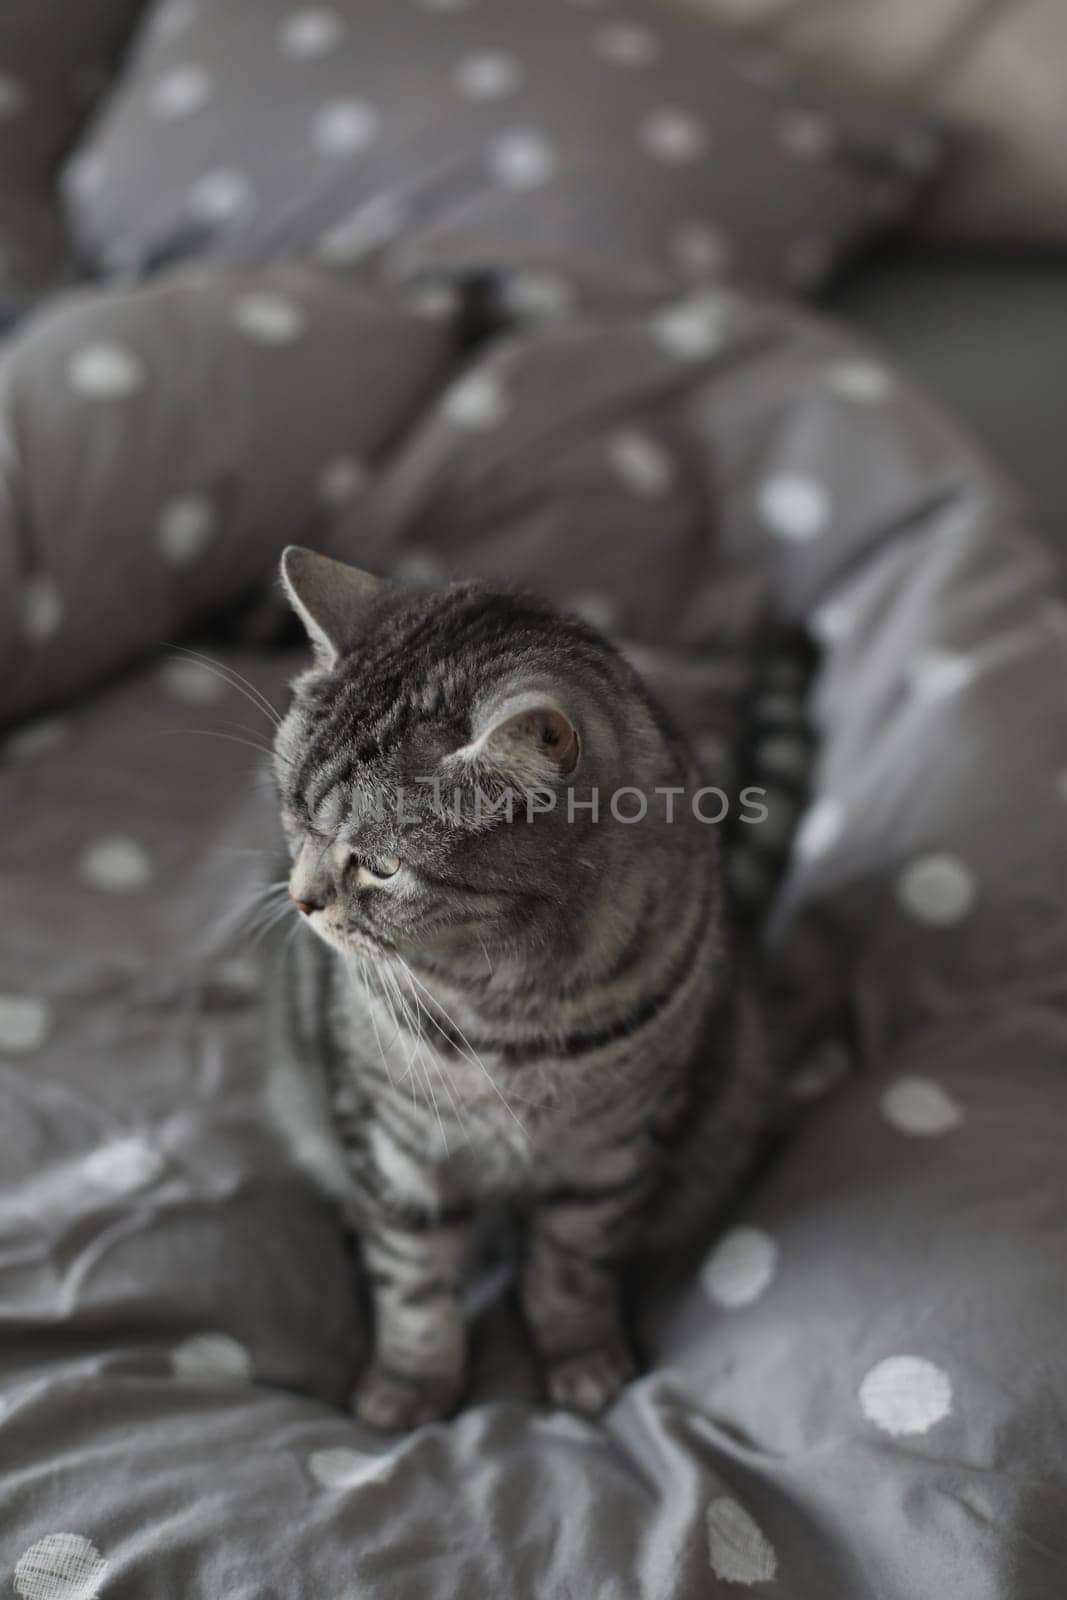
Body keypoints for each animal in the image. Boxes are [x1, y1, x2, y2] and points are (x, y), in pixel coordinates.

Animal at [271, 544, 780, 1433]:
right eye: (293, 817)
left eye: (381, 865)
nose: (302, 900)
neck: (504, 1004)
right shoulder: (395, 1139)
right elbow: (413, 1278)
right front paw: (408, 1388)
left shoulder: (610, 1151)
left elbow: (570, 1268)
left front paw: (583, 1360)